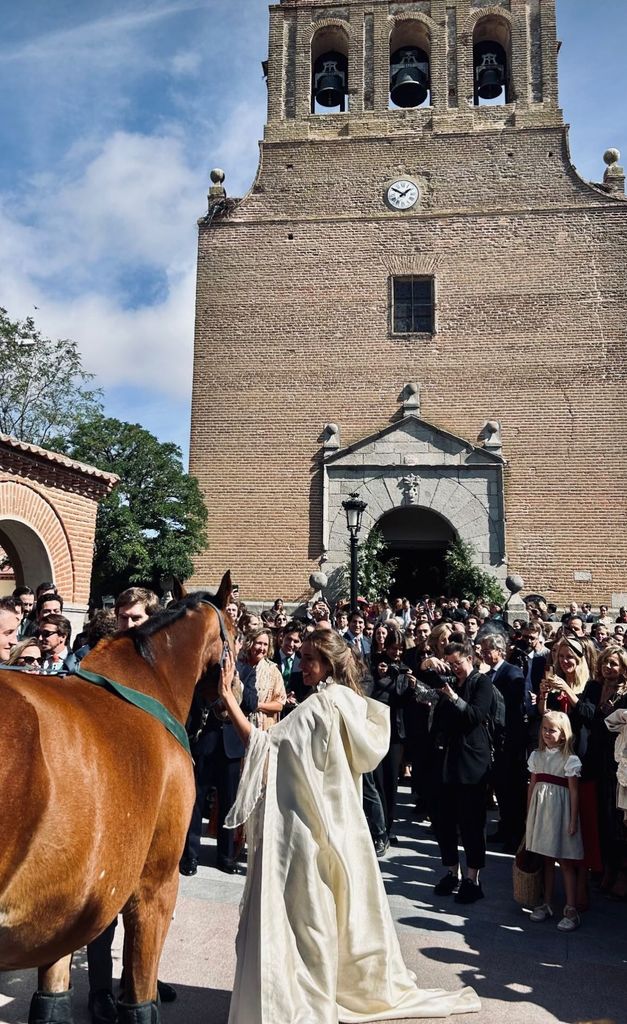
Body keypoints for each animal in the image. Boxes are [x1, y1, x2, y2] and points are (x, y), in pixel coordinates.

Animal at [0, 573, 235, 1019]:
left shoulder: (66, 902)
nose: (231, 697)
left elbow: (51, 1000)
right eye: (238, 630)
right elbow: (139, 1000)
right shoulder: (157, 883)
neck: (146, 683)